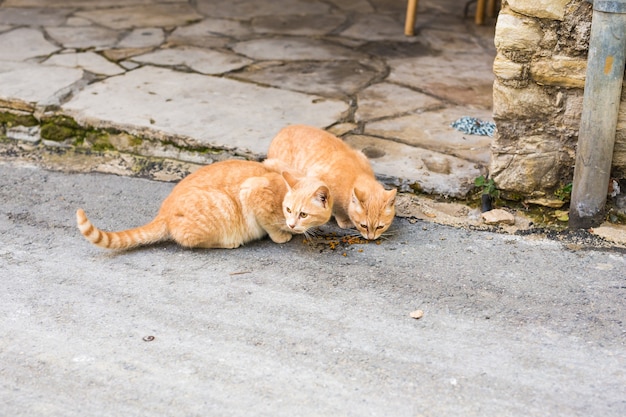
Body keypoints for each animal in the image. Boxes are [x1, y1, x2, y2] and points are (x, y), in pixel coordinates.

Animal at [77, 159, 332, 250]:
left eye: (303, 214)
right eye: (288, 210)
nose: (291, 224)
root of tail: (163, 213)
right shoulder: (252, 191)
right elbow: (269, 224)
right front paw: (281, 235)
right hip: (223, 207)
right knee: (189, 241)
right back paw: (230, 243)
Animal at [264, 125, 394, 239]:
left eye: (380, 227)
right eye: (363, 226)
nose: (371, 238)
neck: (357, 174)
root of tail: (283, 129)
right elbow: (337, 208)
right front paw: (344, 219)